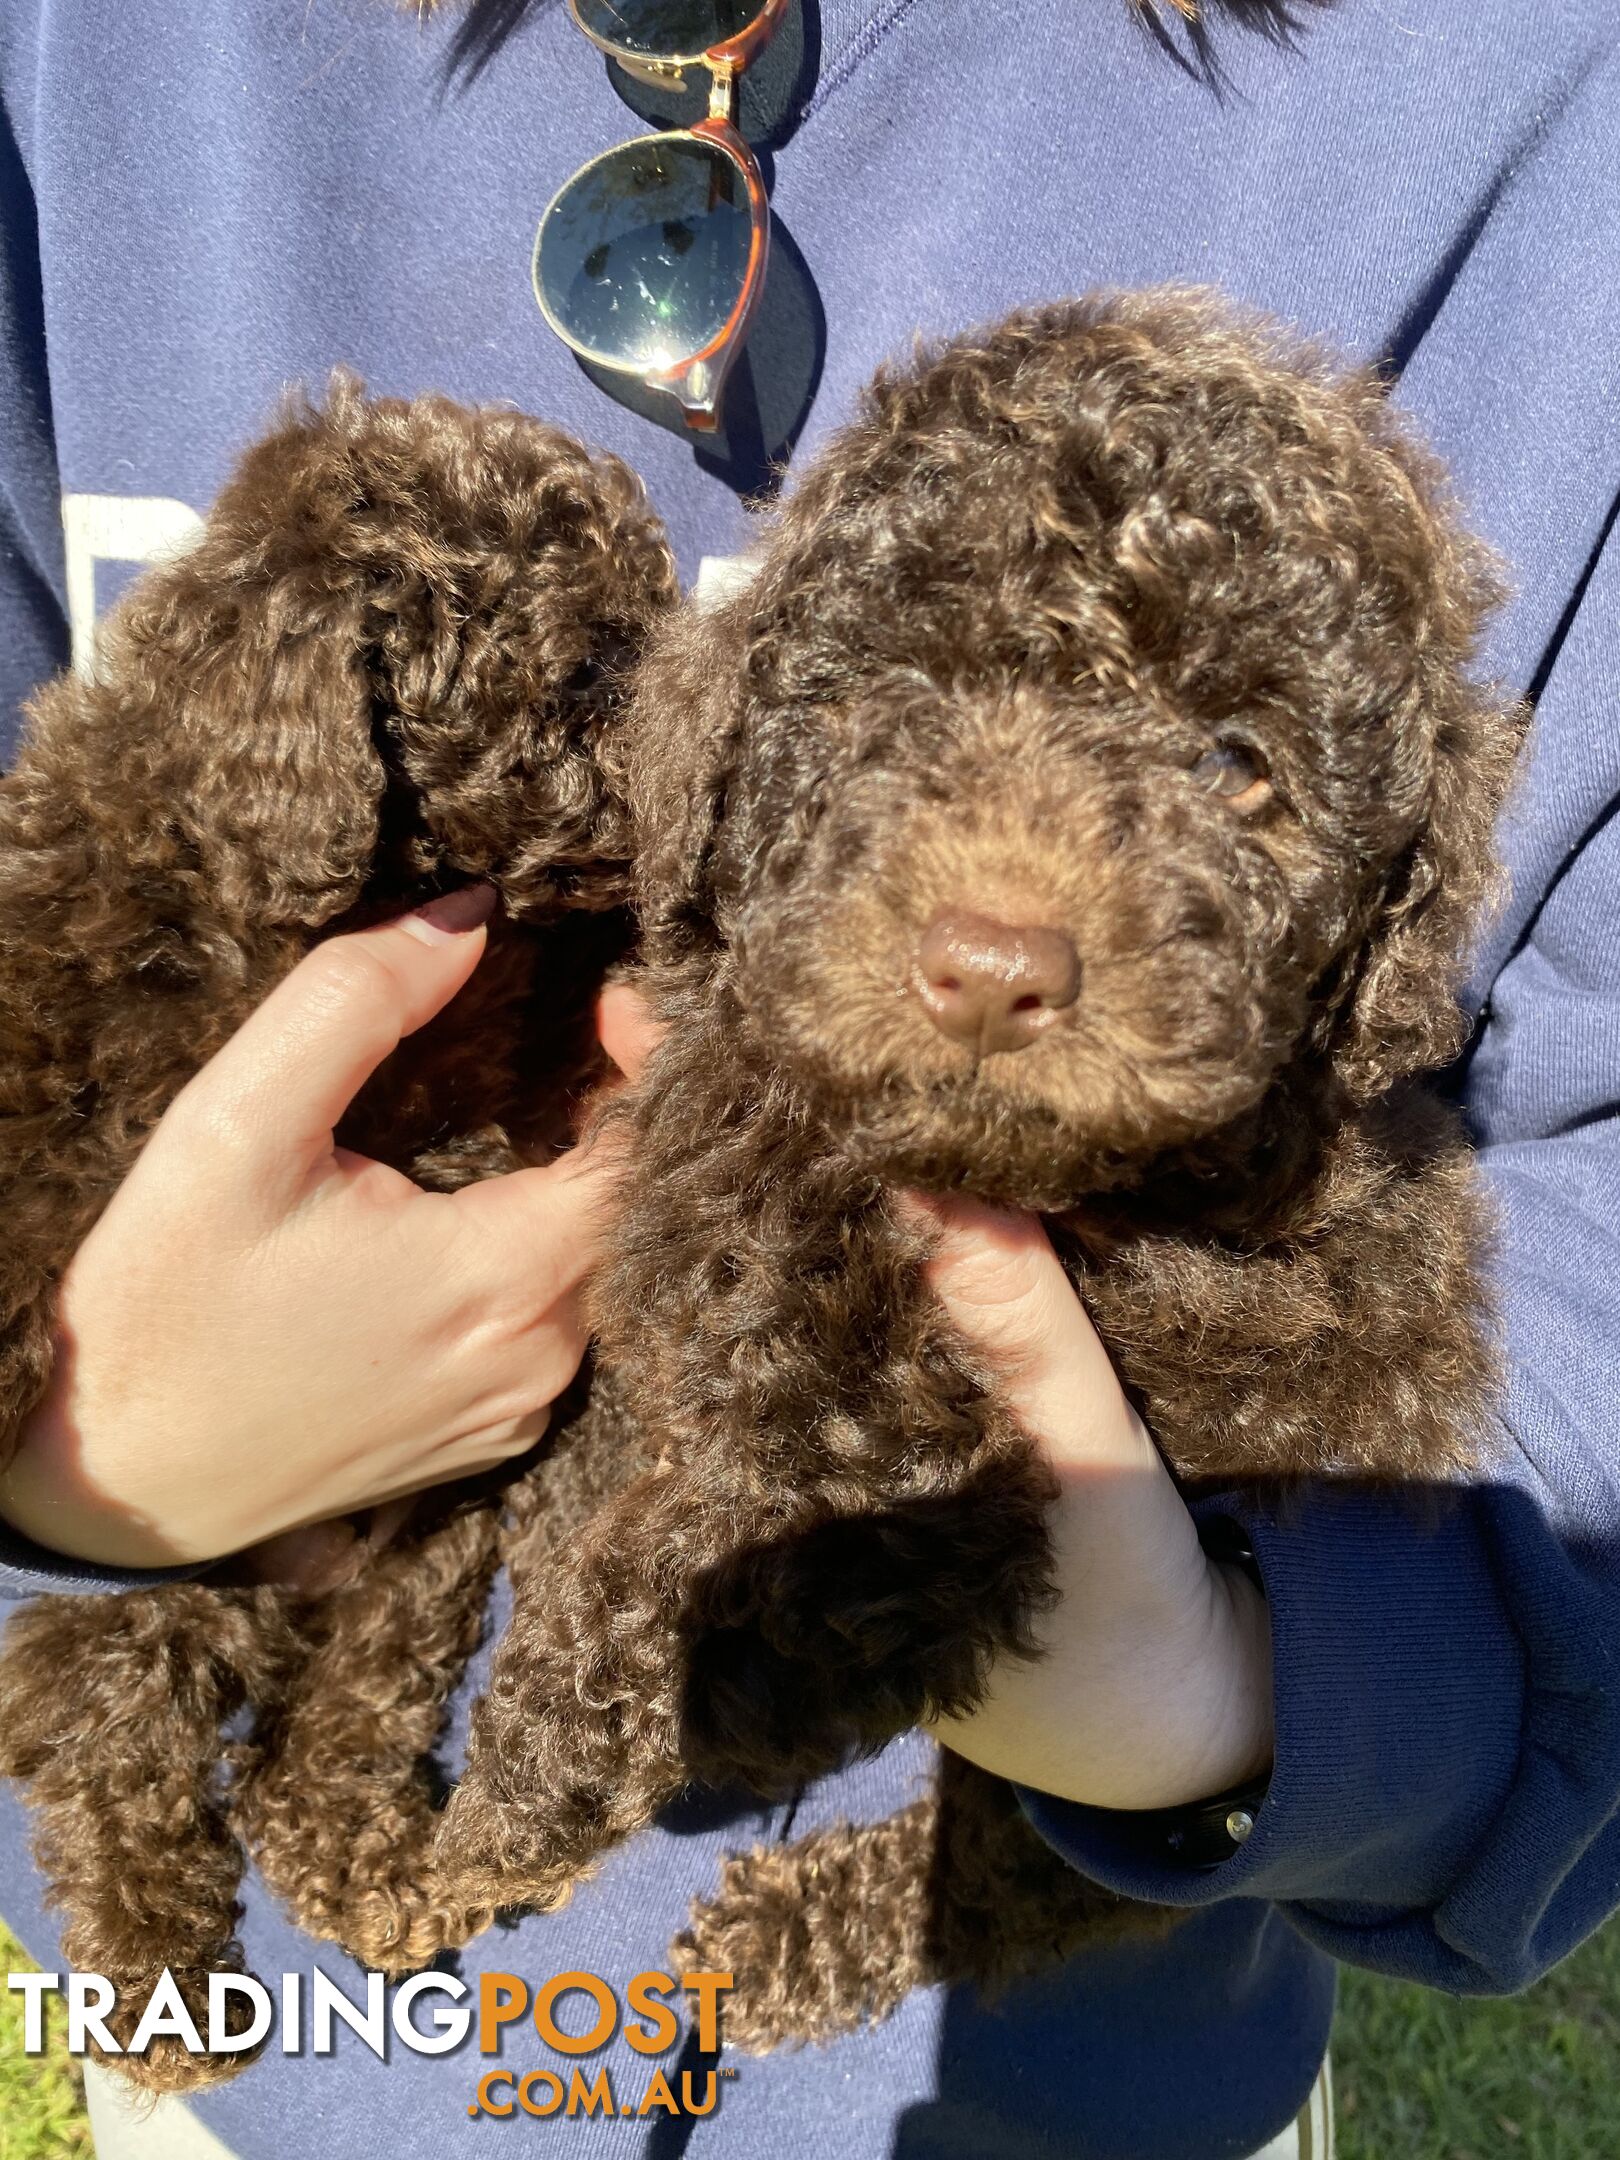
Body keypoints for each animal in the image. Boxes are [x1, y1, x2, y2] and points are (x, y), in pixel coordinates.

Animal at [0, 375, 678, 2090]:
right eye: (590, 673)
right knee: (110, 1696)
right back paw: (157, 1963)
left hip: (416, 1537)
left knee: (337, 1703)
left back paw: (347, 1874)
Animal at [438, 287, 1529, 2039]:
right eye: (894, 703)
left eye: (1239, 766)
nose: (993, 968)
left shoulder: (1095, 1395)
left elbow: (762, 1521)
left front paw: (538, 1776)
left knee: (1029, 1883)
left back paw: (776, 1939)